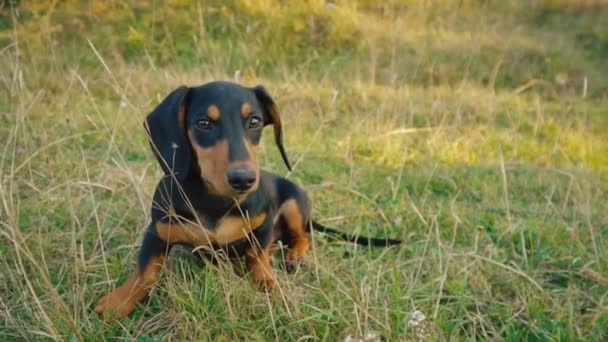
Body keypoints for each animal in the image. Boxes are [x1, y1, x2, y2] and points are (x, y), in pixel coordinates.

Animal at [94, 81, 400, 320]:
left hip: (294, 204)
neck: (216, 201)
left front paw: (270, 284)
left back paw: (294, 255)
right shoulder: (157, 231)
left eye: (254, 121)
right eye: (204, 123)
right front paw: (118, 302)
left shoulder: (263, 224)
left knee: (304, 237)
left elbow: (258, 257)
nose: (243, 179)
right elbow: (144, 272)